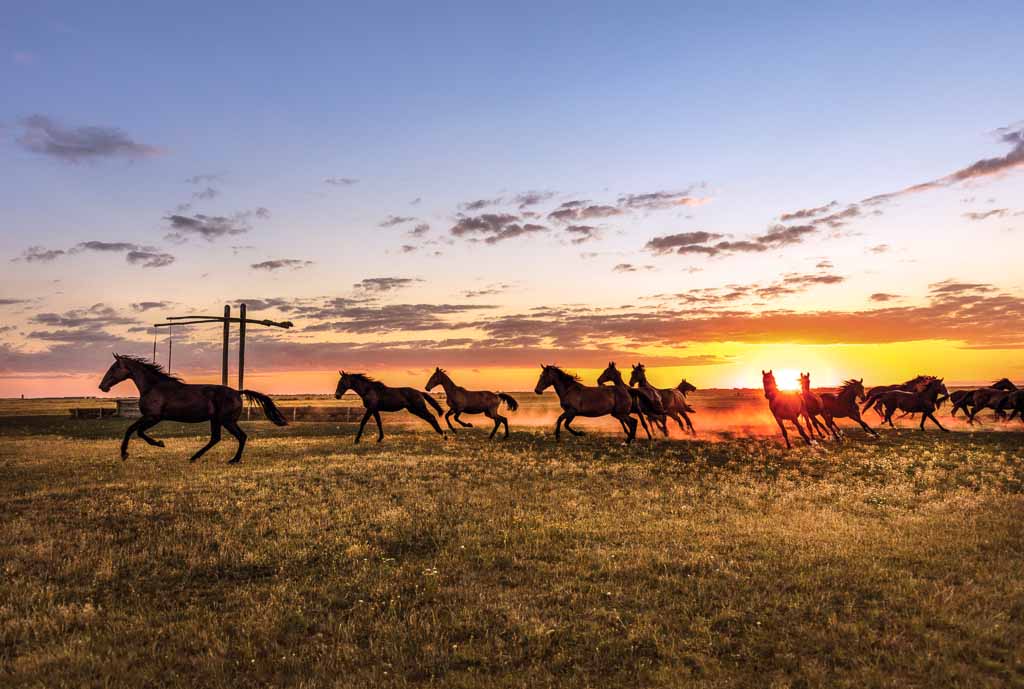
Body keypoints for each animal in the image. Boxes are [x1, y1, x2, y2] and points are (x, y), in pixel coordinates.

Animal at [98, 353, 287, 463]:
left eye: (113, 368)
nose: (102, 386)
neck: (153, 386)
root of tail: (237, 392)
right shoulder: (150, 418)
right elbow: (131, 430)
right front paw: (125, 454)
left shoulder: (153, 417)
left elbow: (136, 431)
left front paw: (158, 444)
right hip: (217, 420)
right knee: (216, 438)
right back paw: (194, 457)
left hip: (226, 420)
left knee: (241, 436)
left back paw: (233, 459)